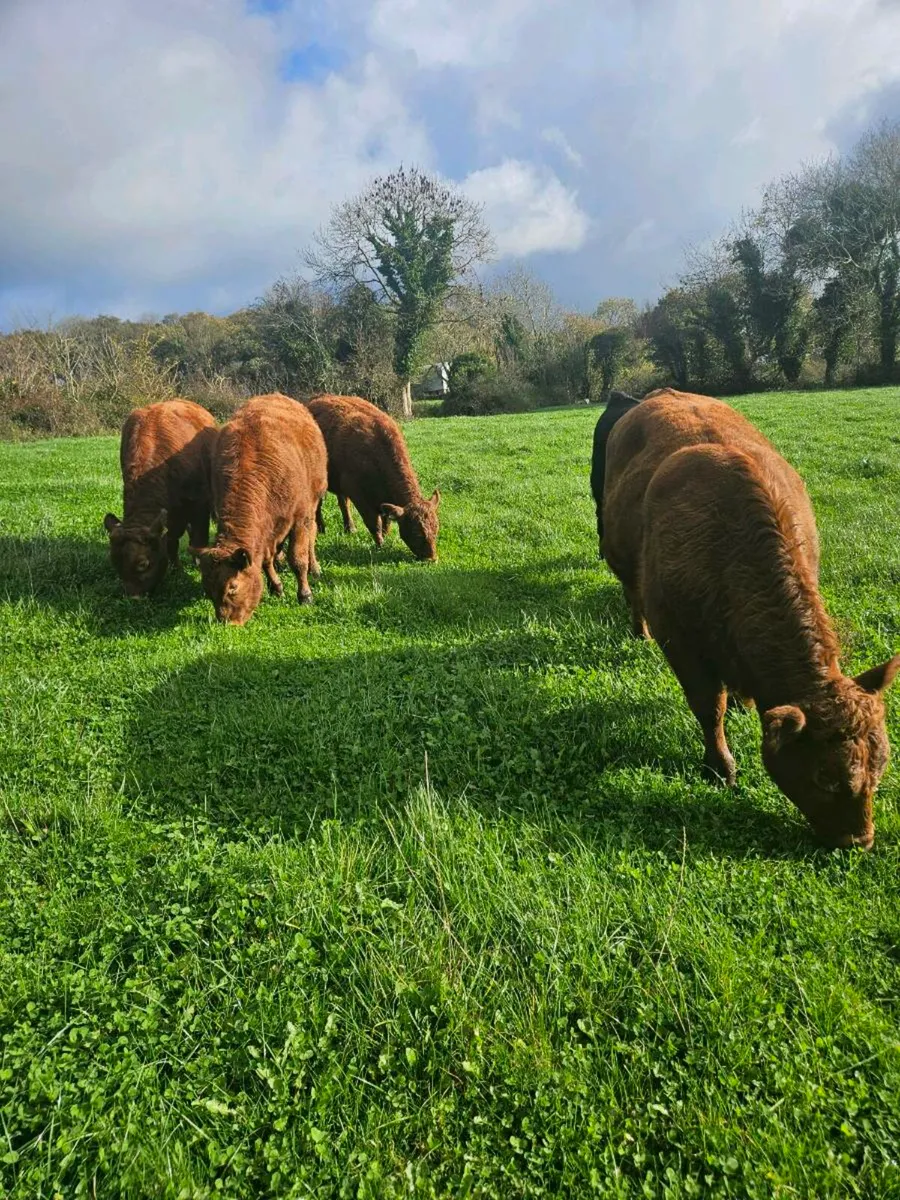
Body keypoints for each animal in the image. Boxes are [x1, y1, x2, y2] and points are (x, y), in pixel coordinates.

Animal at [104, 399, 217, 597]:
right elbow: (171, 541)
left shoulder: (199, 506)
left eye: (143, 564)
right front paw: (176, 568)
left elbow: (198, 539)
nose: (133, 597)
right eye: (115, 563)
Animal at [197, 393, 327, 625]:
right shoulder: (266, 528)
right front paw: (276, 587)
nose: (226, 623)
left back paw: (314, 568)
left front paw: (305, 595)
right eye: (208, 590)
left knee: (311, 537)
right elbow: (265, 559)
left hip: (312, 506)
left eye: (232, 587)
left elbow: (298, 559)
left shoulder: (300, 517)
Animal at [306, 394, 440, 561]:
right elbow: (373, 522)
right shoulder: (358, 494)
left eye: (436, 528)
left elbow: (386, 521)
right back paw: (321, 528)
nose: (432, 558)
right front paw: (380, 545)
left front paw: (385, 537)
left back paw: (350, 528)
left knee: (343, 503)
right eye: (416, 532)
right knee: (318, 505)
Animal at [602, 388, 899, 849]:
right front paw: (720, 767)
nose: (859, 841)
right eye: (825, 778)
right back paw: (639, 632)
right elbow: (709, 707)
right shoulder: (682, 642)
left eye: (880, 766)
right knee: (632, 593)